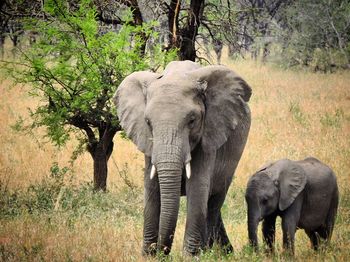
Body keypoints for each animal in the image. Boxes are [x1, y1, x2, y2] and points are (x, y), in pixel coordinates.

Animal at [114, 60, 252, 255]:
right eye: (148, 122)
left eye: (192, 121)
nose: (162, 251)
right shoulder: (148, 143)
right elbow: (152, 189)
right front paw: (148, 255)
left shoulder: (208, 136)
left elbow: (197, 188)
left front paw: (189, 256)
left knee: (214, 202)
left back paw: (211, 251)